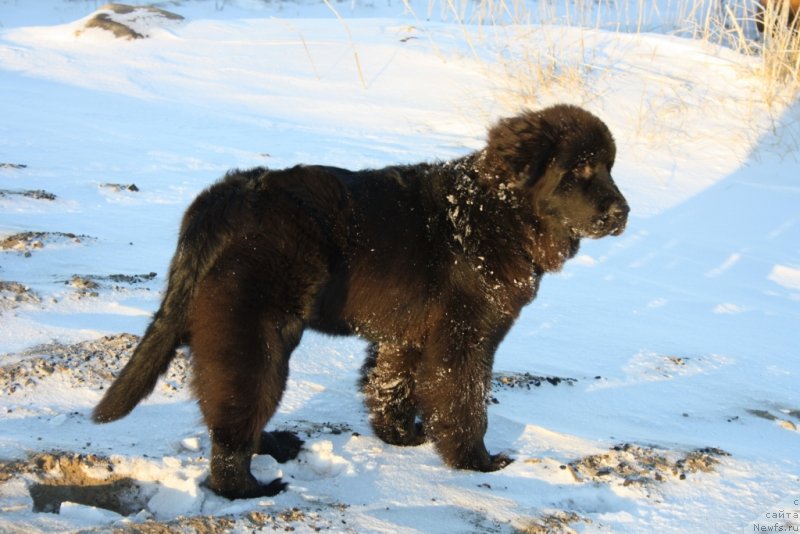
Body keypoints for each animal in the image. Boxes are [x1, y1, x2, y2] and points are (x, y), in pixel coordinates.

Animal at [94, 105, 628, 502]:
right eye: (579, 169)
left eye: (609, 167)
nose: (623, 212)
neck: (495, 212)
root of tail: (223, 199)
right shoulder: (465, 336)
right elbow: (465, 400)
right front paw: (477, 463)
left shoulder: (408, 334)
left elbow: (391, 384)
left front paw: (399, 437)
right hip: (257, 332)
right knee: (234, 420)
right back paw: (250, 488)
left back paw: (274, 447)